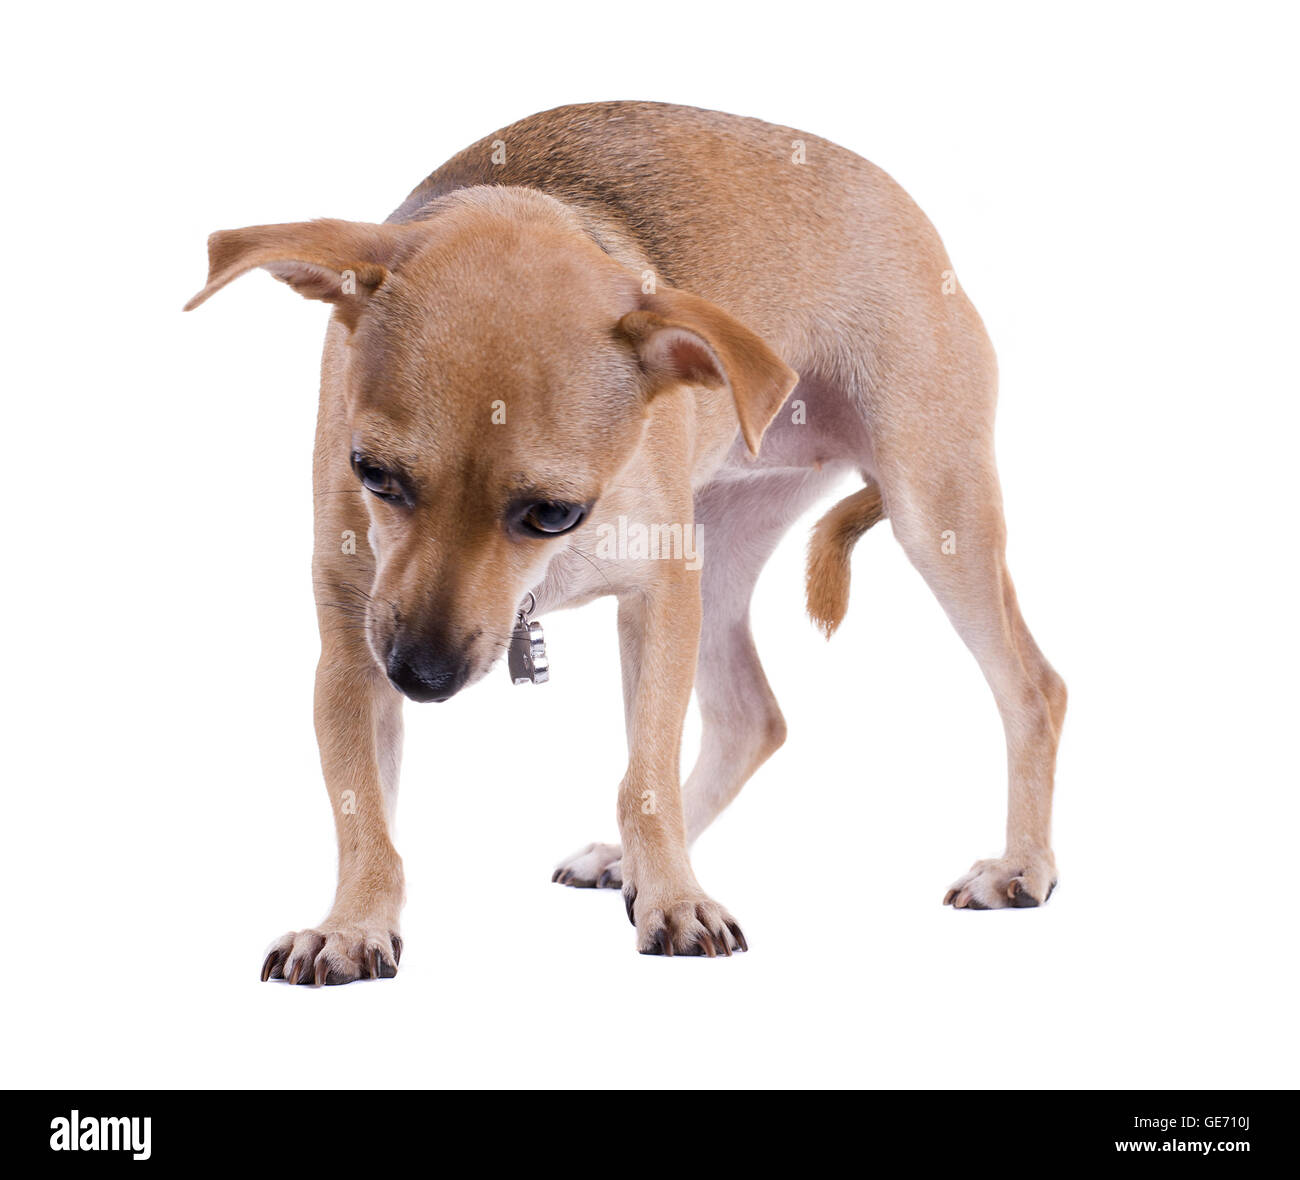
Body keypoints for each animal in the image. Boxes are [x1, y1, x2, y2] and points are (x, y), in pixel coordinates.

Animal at [188, 103, 1071, 987]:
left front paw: (676, 901)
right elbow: (364, 811)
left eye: (553, 514)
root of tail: (919, 222)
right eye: (372, 474)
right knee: (751, 717)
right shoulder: (352, 643)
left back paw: (1019, 867)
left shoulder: (657, 597)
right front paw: (352, 923)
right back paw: (627, 859)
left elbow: (645, 776)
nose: (420, 677)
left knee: (1034, 688)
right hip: (724, 542)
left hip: (931, 512)